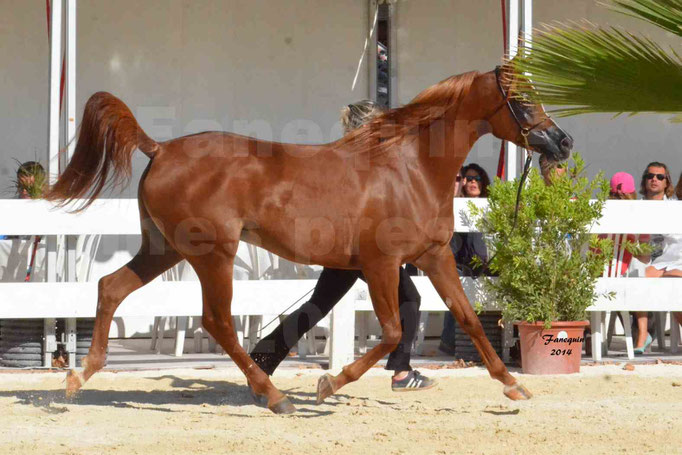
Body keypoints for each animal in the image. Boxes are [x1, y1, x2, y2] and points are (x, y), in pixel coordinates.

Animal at [49, 65, 568, 416]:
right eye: (521, 100)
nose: (562, 143)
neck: (409, 166)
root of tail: (159, 149)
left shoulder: (434, 256)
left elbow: (469, 319)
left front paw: (514, 385)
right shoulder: (380, 264)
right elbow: (393, 331)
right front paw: (328, 385)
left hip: (163, 248)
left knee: (111, 288)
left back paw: (78, 378)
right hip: (213, 253)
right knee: (217, 321)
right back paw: (276, 396)